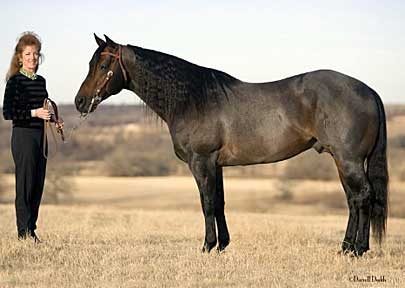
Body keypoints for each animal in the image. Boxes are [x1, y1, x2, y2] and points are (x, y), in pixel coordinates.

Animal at [74, 35, 386, 255]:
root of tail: (369, 90)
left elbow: (207, 203)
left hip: (349, 160)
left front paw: (207, 246)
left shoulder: (201, 161)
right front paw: (222, 245)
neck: (192, 99)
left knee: (363, 197)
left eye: (104, 66)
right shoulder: (217, 165)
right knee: (353, 199)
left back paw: (359, 249)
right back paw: (346, 248)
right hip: (341, 161)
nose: (79, 102)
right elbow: (220, 202)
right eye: (90, 65)